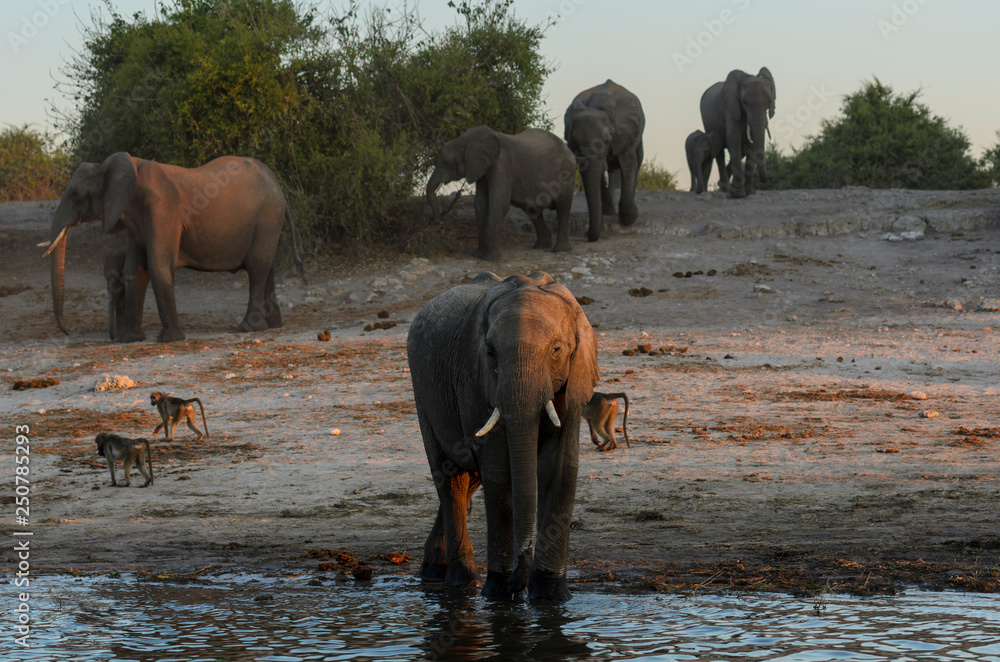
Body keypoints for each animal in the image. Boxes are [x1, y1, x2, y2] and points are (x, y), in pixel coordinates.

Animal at [44, 154, 308, 344]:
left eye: (75, 193)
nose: (67, 332)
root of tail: (279, 188)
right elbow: (135, 269)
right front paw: (130, 340)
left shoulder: (162, 211)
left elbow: (158, 264)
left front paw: (169, 340)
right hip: (267, 223)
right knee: (267, 267)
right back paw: (273, 326)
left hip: (267, 217)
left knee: (256, 267)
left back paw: (247, 329)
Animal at [404, 272, 592, 604]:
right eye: (490, 353)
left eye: (557, 350)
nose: (519, 583)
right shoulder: (475, 380)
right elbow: (499, 473)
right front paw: (499, 592)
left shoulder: (573, 380)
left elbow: (560, 468)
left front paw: (549, 597)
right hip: (423, 390)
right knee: (450, 477)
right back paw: (462, 581)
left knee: (468, 478)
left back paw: (434, 571)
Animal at [424, 126, 580, 260]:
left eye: (446, 162)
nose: (439, 222)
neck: (465, 139)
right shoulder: (481, 169)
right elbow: (480, 204)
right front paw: (477, 255)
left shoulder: (502, 166)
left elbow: (499, 204)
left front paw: (490, 258)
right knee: (533, 211)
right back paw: (540, 246)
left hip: (567, 174)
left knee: (563, 208)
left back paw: (560, 250)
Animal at [564, 79, 648, 243]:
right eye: (577, 144)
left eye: (607, 140)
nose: (586, 235)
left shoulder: (624, 131)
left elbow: (629, 165)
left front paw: (632, 215)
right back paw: (609, 211)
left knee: (638, 159)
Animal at [700, 67, 776, 200]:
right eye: (744, 102)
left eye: (769, 103)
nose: (767, 179)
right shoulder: (731, 108)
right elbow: (734, 140)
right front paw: (738, 195)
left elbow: (752, 146)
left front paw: (750, 193)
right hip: (708, 123)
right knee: (720, 152)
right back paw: (724, 189)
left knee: (741, 150)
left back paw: (722, 186)